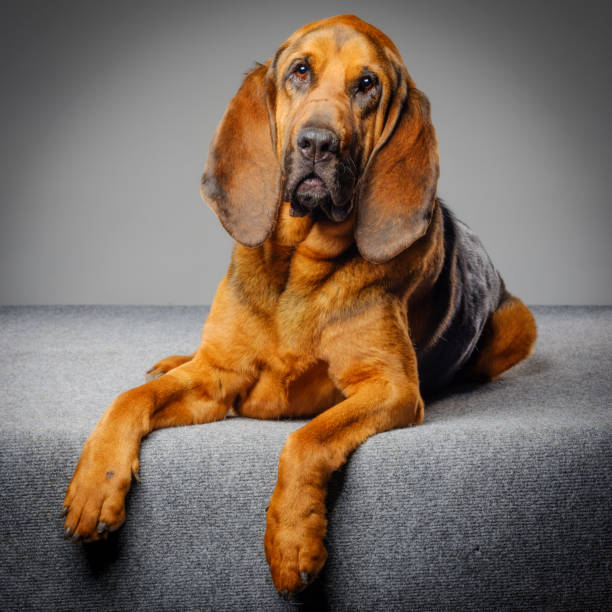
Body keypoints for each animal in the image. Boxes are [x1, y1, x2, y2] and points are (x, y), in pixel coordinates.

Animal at [63, 14, 536, 596]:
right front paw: (94, 486)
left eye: (367, 84)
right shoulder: (216, 378)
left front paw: (292, 543)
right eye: (300, 71)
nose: (317, 143)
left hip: (520, 324)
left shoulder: (390, 387)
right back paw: (170, 360)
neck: (300, 266)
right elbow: (129, 400)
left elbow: (305, 440)